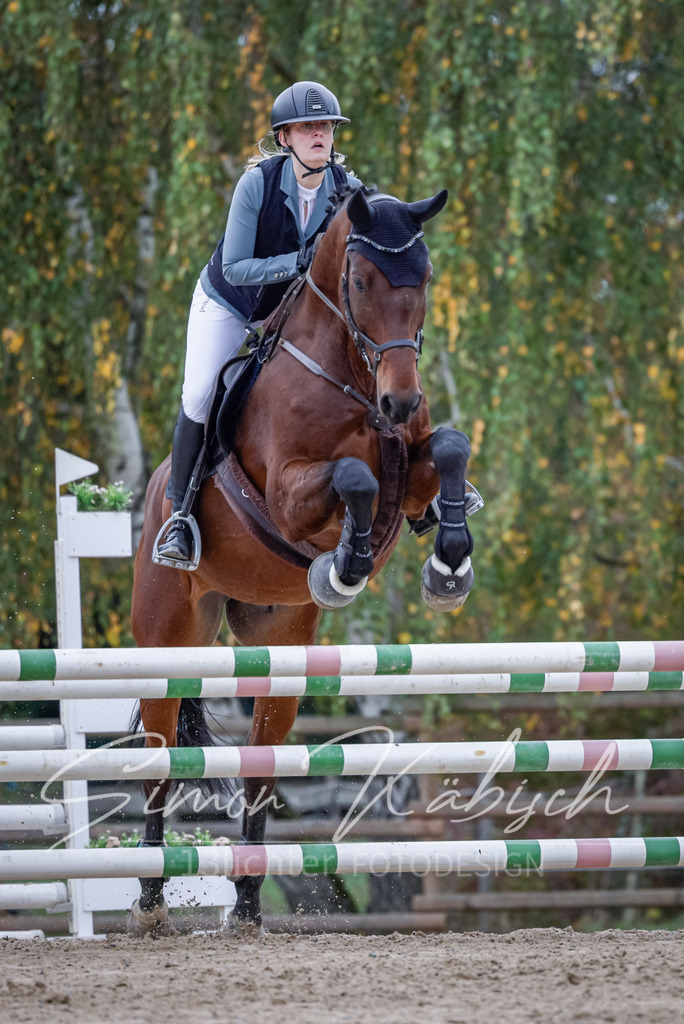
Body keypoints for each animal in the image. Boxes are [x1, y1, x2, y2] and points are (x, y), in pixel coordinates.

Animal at [128, 184, 478, 935]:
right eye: (361, 282)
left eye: (425, 280)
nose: (400, 399)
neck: (354, 376)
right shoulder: (291, 491)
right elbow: (354, 478)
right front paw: (345, 567)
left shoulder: (416, 458)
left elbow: (450, 448)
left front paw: (449, 565)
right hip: (166, 643)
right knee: (160, 763)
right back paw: (149, 902)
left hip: (280, 652)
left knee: (262, 771)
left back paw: (247, 907)